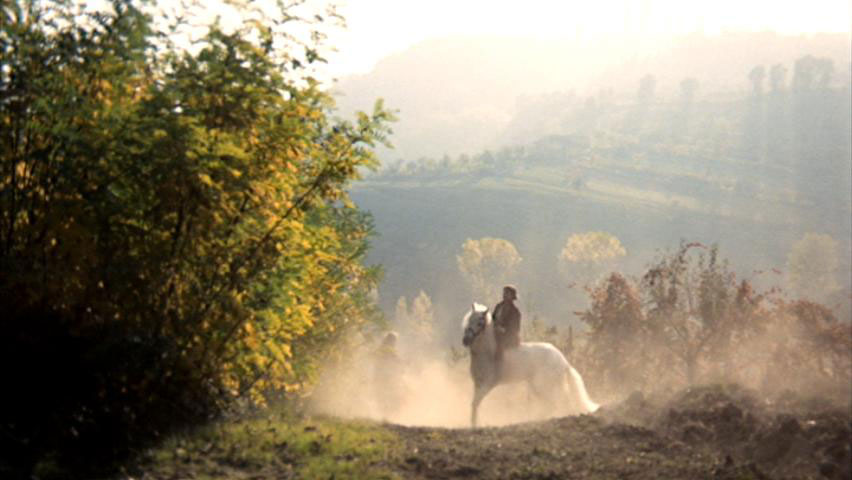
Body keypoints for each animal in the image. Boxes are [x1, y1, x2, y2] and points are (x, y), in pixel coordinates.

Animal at [462, 302, 599, 427]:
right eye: (469, 320)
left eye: (480, 323)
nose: (465, 340)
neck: (487, 352)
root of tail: (563, 361)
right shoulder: (477, 384)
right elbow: (475, 404)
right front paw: (474, 423)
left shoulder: (487, 385)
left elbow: (475, 403)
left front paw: (474, 424)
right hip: (542, 387)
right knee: (555, 403)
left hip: (544, 386)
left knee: (558, 402)